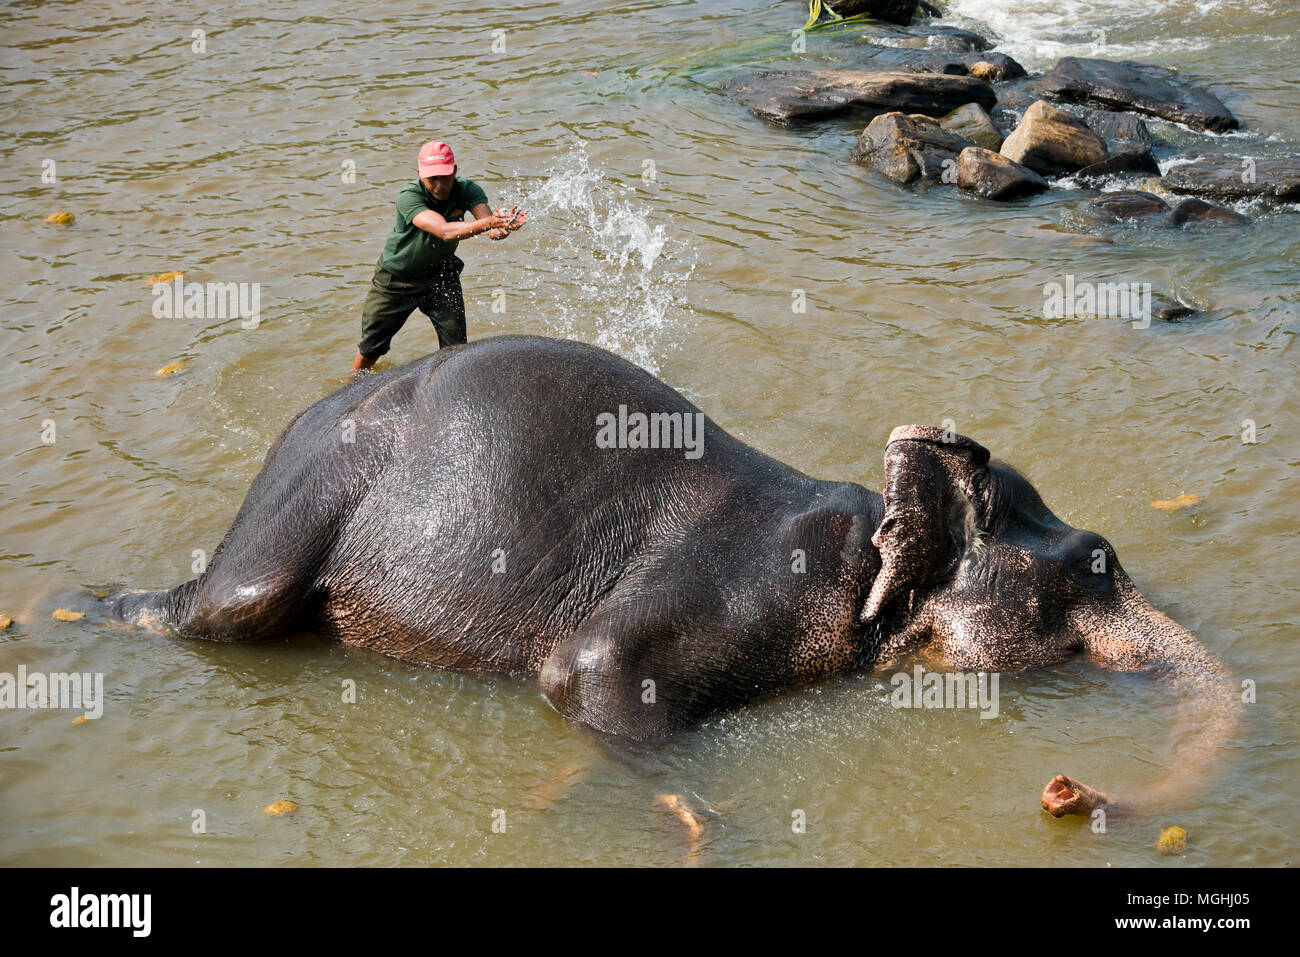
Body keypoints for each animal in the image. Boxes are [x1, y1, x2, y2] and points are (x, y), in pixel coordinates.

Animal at [111, 335, 1237, 816]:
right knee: (222, 608)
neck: (864, 537)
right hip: (302, 501)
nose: (1063, 789)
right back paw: (99, 608)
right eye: (1095, 566)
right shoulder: (746, 586)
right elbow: (584, 670)